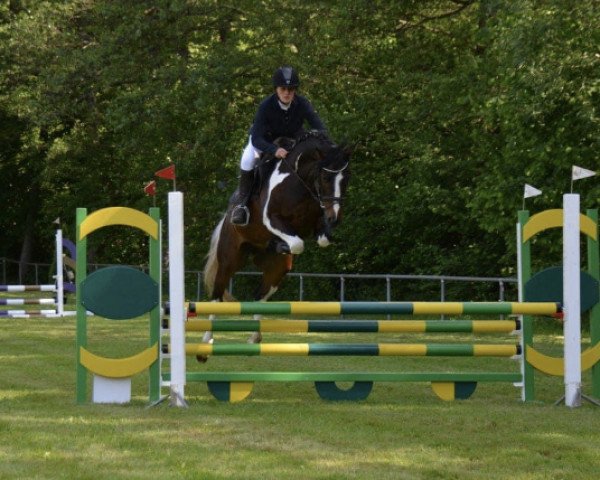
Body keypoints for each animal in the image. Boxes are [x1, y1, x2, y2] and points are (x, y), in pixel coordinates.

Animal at [202, 131, 352, 352]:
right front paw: (281, 243)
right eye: (325, 177)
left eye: (346, 178)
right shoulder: (271, 218)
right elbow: (298, 243)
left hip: (277, 269)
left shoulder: (315, 223)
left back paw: (255, 336)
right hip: (230, 258)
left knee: (259, 295)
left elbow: (321, 239)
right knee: (217, 293)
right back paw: (207, 337)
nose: (335, 219)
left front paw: (281, 244)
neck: (300, 181)